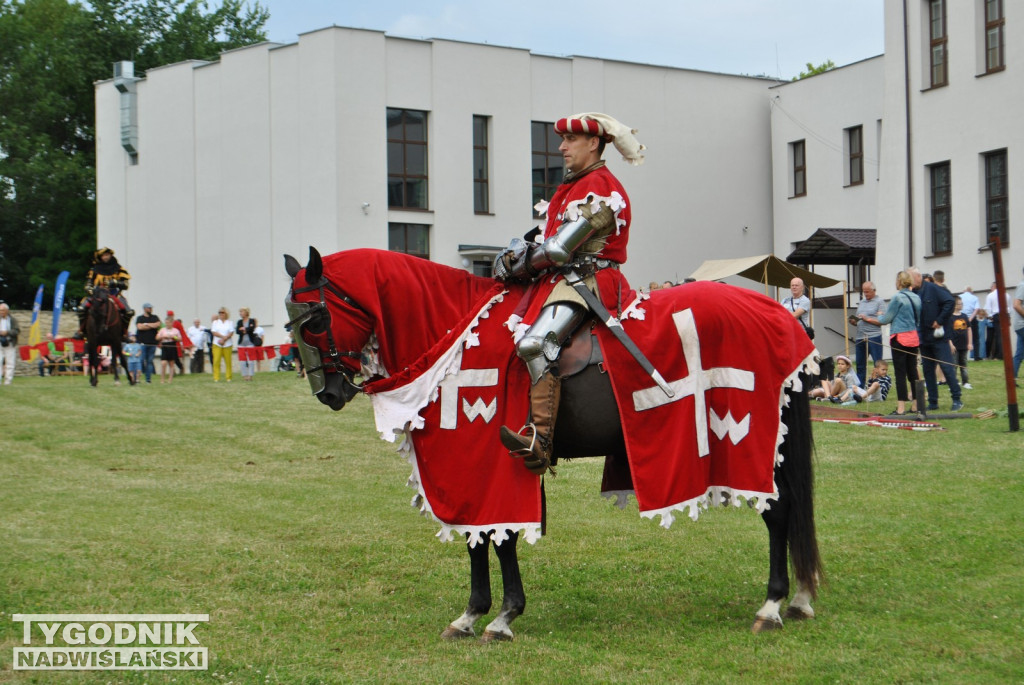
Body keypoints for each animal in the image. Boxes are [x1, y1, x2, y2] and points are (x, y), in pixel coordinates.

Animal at [282, 248, 823, 638]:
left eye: (315, 320)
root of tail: (780, 314)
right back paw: (799, 598)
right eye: (291, 325)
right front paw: (471, 614)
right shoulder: (469, 474)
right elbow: (479, 539)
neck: (454, 343)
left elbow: (500, 538)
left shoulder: (491, 466)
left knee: (778, 513)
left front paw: (503, 617)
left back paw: (773, 605)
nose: (328, 393)